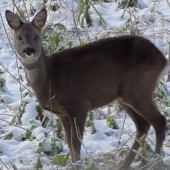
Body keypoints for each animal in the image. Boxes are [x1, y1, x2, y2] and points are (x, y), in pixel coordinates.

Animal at [5, 8, 167, 170]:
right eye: (19, 37)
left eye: (36, 35)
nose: (29, 50)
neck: (50, 79)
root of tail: (163, 59)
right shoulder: (62, 113)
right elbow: (69, 143)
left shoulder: (79, 105)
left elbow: (76, 142)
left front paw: (77, 165)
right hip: (124, 96)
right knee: (143, 124)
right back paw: (129, 165)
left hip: (138, 89)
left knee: (159, 121)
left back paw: (156, 161)